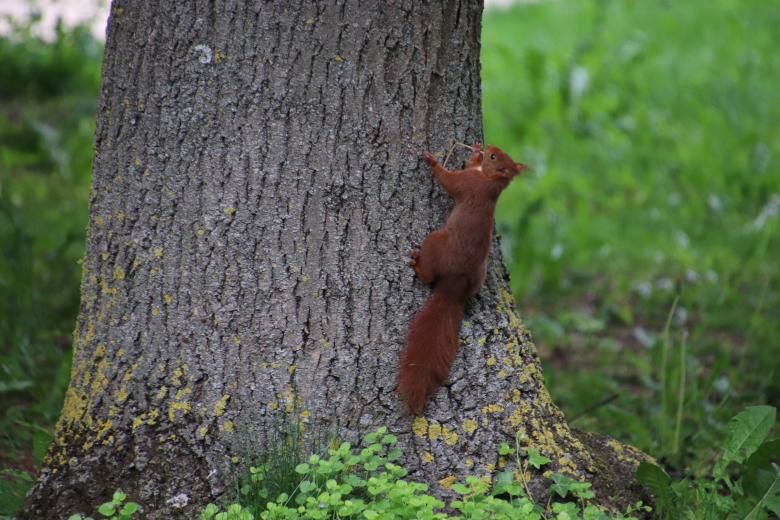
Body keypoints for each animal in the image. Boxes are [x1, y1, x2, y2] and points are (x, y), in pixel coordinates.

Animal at [397, 144, 527, 415]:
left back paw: (417, 264)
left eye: (494, 157)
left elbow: (448, 181)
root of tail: (455, 285)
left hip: (435, 242)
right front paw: (473, 153)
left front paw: (433, 162)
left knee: (429, 275)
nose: (487, 147)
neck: (490, 181)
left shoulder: (467, 184)